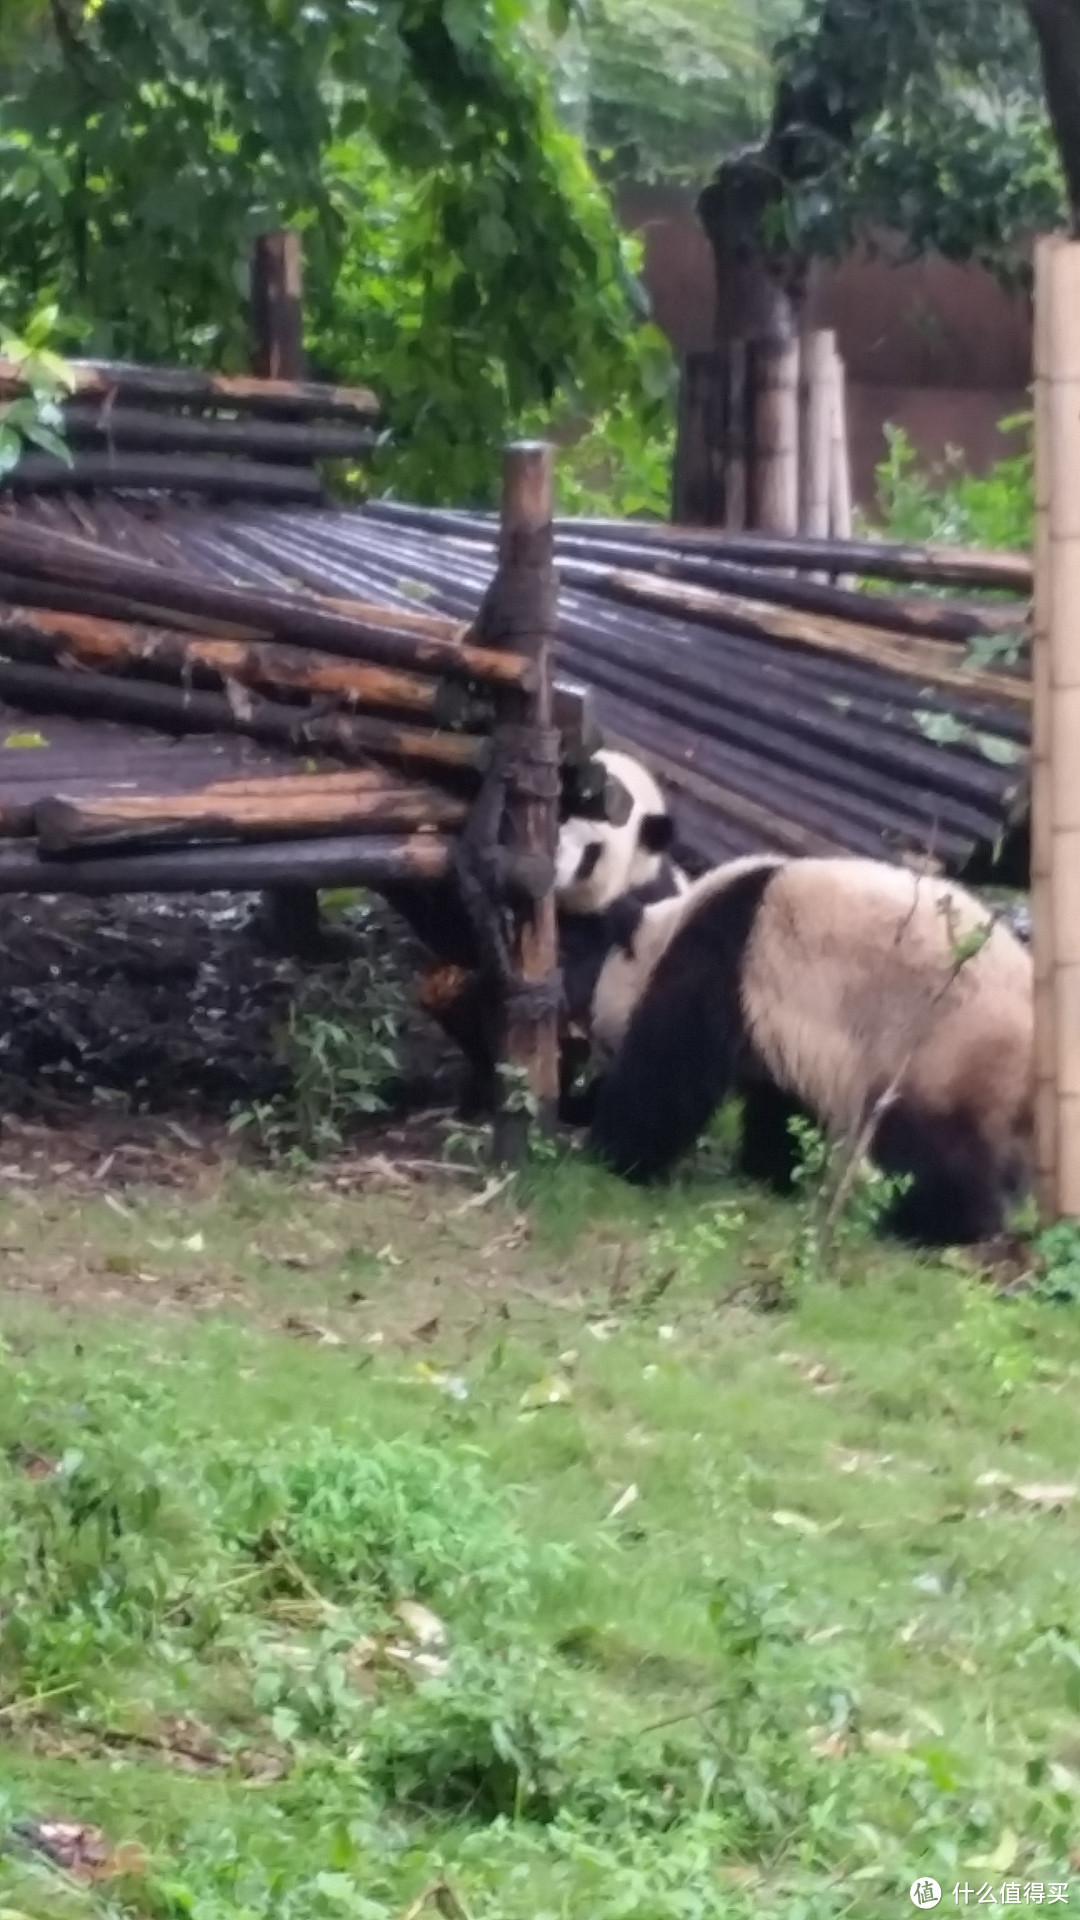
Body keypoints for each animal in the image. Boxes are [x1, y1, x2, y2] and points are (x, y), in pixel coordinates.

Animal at [557, 852, 1030, 1244]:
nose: (594, 1055)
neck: (678, 920)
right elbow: (781, 1105)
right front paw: (770, 1173)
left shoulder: (721, 960)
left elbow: (667, 1072)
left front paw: (604, 1147)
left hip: (944, 1044)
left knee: (928, 1144)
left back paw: (936, 1225)